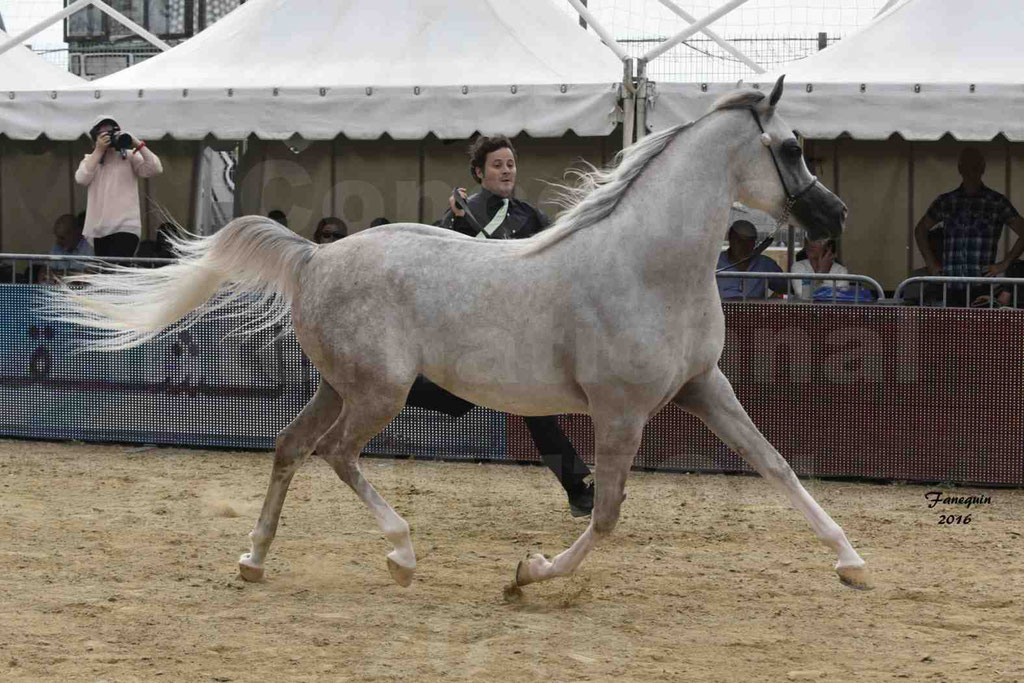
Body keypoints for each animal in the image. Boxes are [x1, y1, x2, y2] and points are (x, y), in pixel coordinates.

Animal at [51, 77, 872, 593]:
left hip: (342, 386)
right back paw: (402, 553)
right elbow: (607, 515)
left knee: (289, 447)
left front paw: (853, 561)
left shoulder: (704, 388)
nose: (835, 215)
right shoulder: (622, 411)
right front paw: (528, 575)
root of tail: (316, 255)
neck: (649, 266)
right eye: (791, 148)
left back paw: (255, 558)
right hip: (380, 392)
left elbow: (776, 465)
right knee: (335, 454)